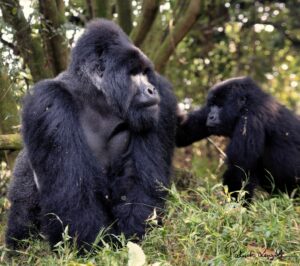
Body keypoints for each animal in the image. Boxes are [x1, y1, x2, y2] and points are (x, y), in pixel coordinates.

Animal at [5, 19, 177, 250]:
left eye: (145, 72)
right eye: (133, 73)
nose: (151, 90)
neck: (96, 98)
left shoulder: (161, 98)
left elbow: (143, 187)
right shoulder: (48, 102)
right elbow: (74, 198)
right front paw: (98, 249)